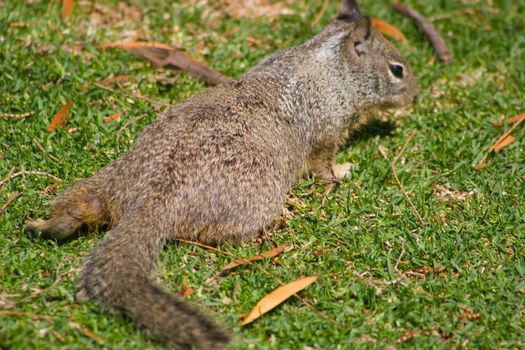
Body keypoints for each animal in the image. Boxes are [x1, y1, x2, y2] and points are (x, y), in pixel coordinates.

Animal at [25, 1, 418, 348]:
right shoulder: (325, 133)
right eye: (397, 69)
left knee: (84, 205)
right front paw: (343, 171)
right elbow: (323, 166)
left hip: (107, 181)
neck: (331, 68)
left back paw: (48, 225)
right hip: (253, 200)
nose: (414, 96)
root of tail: (154, 196)